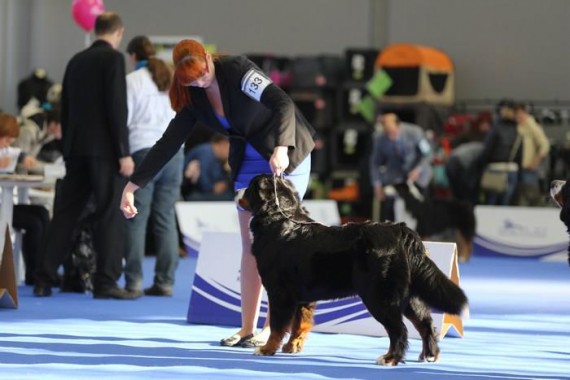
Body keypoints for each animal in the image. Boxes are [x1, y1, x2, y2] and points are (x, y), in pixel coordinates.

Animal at [237, 174, 464, 366]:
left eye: (249, 188)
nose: (237, 191)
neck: (278, 220)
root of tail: (399, 230)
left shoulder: (279, 292)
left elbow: (277, 326)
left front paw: (267, 349)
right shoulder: (303, 297)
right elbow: (299, 324)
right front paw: (292, 346)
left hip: (379, 296)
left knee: (399, 329)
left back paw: (390, 358)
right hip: (409, 297)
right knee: (425, 323)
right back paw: (429, 354)